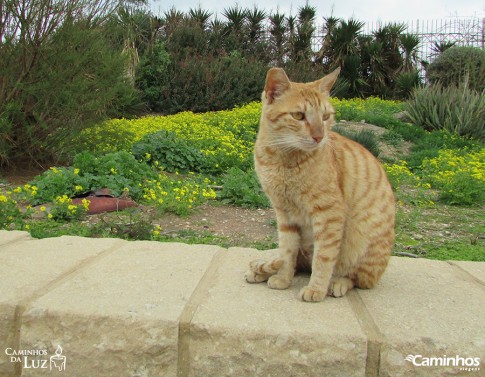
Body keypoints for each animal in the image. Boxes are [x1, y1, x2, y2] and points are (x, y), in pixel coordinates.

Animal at [244, 67, 396, 302]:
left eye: (325, 117)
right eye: (298, 116)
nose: (319, 136)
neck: (283, 160)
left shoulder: (328, 214)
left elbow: (323, 258)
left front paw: (316, 288)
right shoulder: (284, 214)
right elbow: (287, 252)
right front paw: (283, 279)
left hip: (363, 246)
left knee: (356, 279)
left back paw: (337, 284)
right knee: (295, 263)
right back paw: (262, 269)